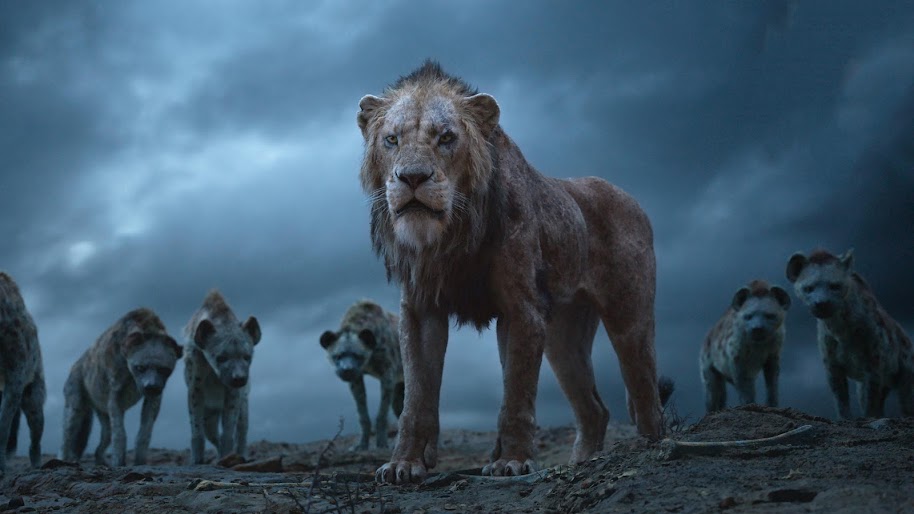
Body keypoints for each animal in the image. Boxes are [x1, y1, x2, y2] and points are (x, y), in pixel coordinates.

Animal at [358, 61, 663, 484]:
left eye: (446, 138)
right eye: (391, 139)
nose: (412, 178)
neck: (452, 234)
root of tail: (634, 201)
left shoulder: (521, 308)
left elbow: (517, 391)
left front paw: (513, 461)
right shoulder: (420, 311)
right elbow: (416, 396)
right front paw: (405, 463)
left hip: (628, 317)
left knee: (644, 387)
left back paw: (652, 447)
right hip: (563, 338)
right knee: (595, 409)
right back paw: (582, 462)